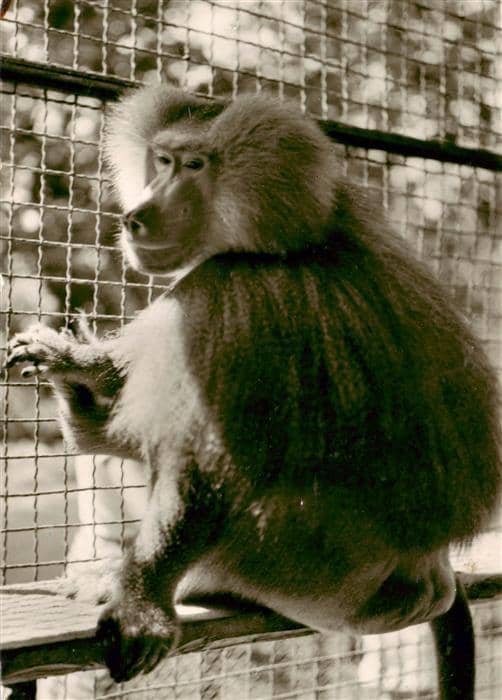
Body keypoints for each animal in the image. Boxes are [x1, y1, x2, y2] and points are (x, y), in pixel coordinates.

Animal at [6, 87, 501, 694]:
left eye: (196, 167)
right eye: (162, 160)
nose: (135, 218)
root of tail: (430, 572)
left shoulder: (235, 289)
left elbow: (205, 468)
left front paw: (141, 607)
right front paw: (80, 366)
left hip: (315, 571)